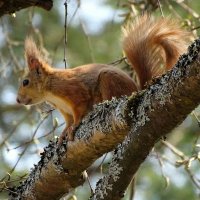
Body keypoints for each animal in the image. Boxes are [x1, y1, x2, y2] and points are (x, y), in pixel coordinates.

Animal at [16, 14, 189, 143]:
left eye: (25, 82)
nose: (17, 100)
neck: (51, 89)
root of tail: (136, 91)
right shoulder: (65, 110)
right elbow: (68, 120)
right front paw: (65, 132)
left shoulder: (74, 92)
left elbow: (79, 112)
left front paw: (74, 127)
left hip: (108, 81)